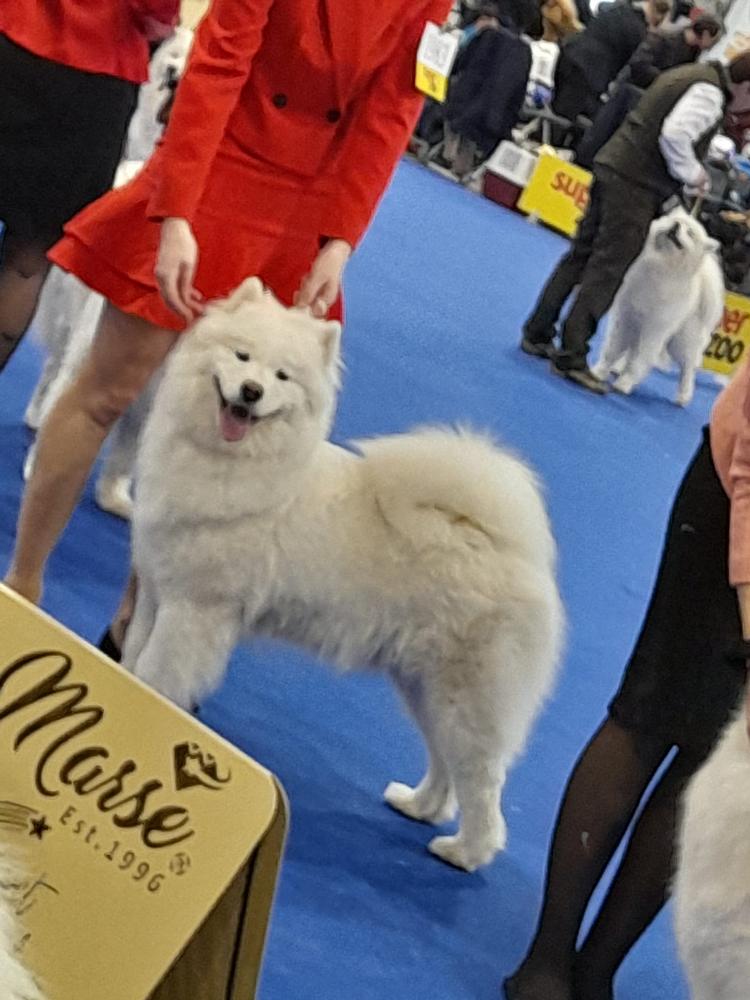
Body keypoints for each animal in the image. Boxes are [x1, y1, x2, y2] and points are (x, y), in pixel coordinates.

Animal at [126, 278, 568, 872]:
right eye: (242, 357)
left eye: (281, 377)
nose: (250, 391)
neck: (233, 463)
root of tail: (514, 551)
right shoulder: (158, 591)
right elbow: (133, 655)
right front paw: (124, 688)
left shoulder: (195, 611)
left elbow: (157, 670)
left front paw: (152, 713)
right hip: (424, 688)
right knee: (446, 764)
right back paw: (419, 806)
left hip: (465, 695)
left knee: (482, 782)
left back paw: (464, 852)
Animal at [592, 207, 728, 406]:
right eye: (675, 221)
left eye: (690, 233)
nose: (676, 225)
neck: (662, 264)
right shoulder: (626, 318)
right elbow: (613, 349)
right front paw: (599, 372)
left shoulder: (655, 329)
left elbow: (640, 360)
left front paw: (625, 383)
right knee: (631, 350)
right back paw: (617, 367)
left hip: (681, 342)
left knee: (688, 369)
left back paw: (683, 396)